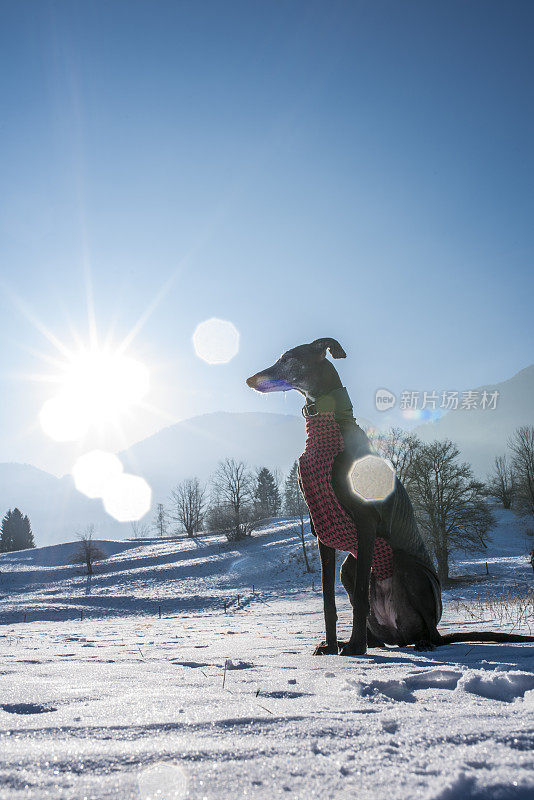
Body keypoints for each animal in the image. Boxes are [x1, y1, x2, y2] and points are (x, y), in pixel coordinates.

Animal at [249, 338, 532, 656]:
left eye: (287, 358)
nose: (250, 380)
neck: (328, 426)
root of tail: (401, 635)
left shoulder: (365, 522)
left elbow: (361, 597)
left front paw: (354, 648)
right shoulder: (321, 531)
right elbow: (328, 602)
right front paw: (331, 646)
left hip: (407, 567)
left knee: (428, 629)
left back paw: (411, 642)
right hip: (350, 567)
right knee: (375, 625)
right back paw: (365, 641)